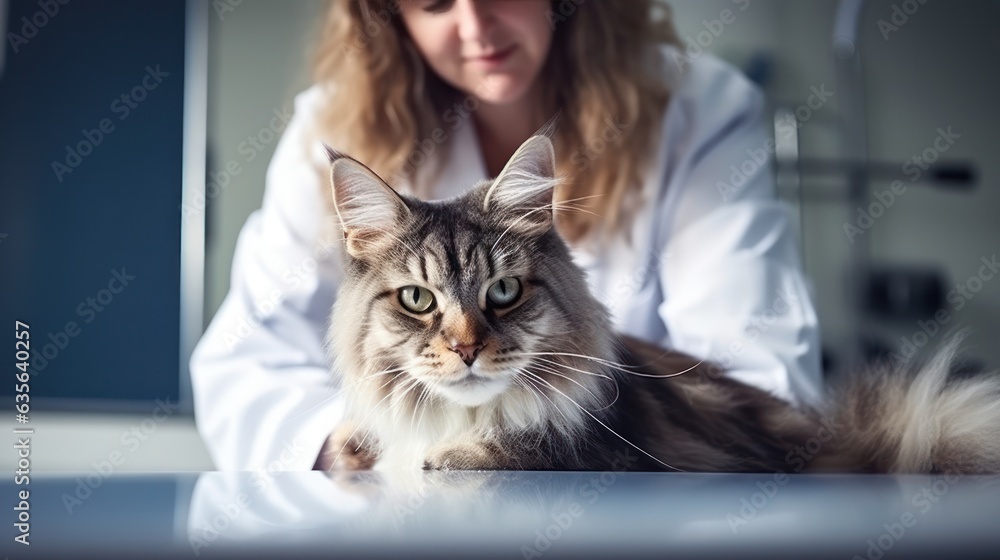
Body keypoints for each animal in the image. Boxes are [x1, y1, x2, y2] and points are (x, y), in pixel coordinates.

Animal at [316, 133, 1000, 474]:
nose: (465, 350)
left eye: (503, 292)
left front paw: (452, 454)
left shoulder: (614, 447)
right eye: (418, 299)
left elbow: (524, 447)